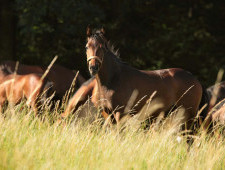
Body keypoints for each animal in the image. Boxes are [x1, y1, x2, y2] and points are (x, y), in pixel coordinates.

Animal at [60, 27, 208, 131]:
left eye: (103, 47)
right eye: (87, 47)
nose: (93, 67)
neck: (112, 80)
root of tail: (195, 79)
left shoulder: (120, 113)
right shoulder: (107, 113)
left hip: (188, 114)